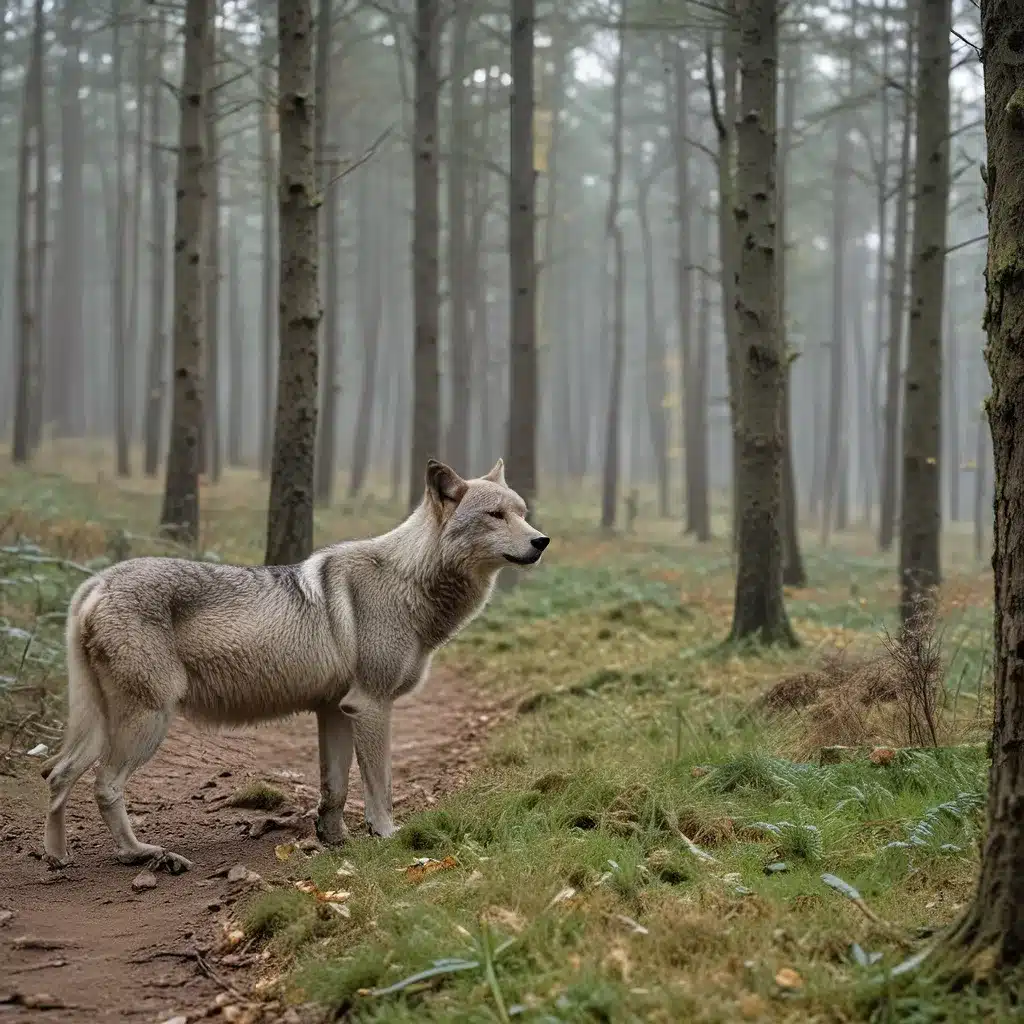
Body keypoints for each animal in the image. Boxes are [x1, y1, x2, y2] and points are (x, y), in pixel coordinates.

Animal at [38, 460, 548, 868]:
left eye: (522, 512)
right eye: (496, 515)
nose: (542, 540)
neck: (409, 581)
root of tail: (97, 583)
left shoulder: (336, 711)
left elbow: (335, 790)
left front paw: (336, 841)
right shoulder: (373, 706)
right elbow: (380, 785)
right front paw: (387, 836)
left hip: (103, 725)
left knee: (57, 775)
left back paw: (58, 858)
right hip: (148, 723)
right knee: (104, 785)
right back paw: (140, 854)